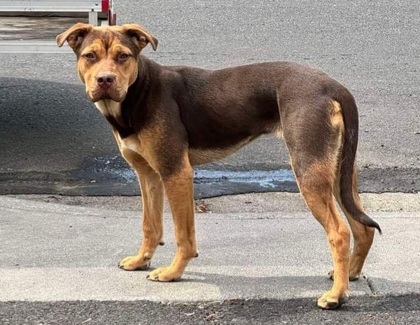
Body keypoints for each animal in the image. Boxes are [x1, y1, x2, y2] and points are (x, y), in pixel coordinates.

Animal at [55, 23, 380, 308]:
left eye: (123, 56)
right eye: (90, 56)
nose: (105, 81)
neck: (138, 91)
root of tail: (334, 87)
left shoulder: (176, 173)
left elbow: (183, 235)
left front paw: (172, 273)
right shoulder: (147, 174)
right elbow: (151, 225)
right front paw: (141, 260)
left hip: (308, 170)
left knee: (339, 232)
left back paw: (336, 295)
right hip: (336, 172)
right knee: (362, 227)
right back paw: (350, 274)